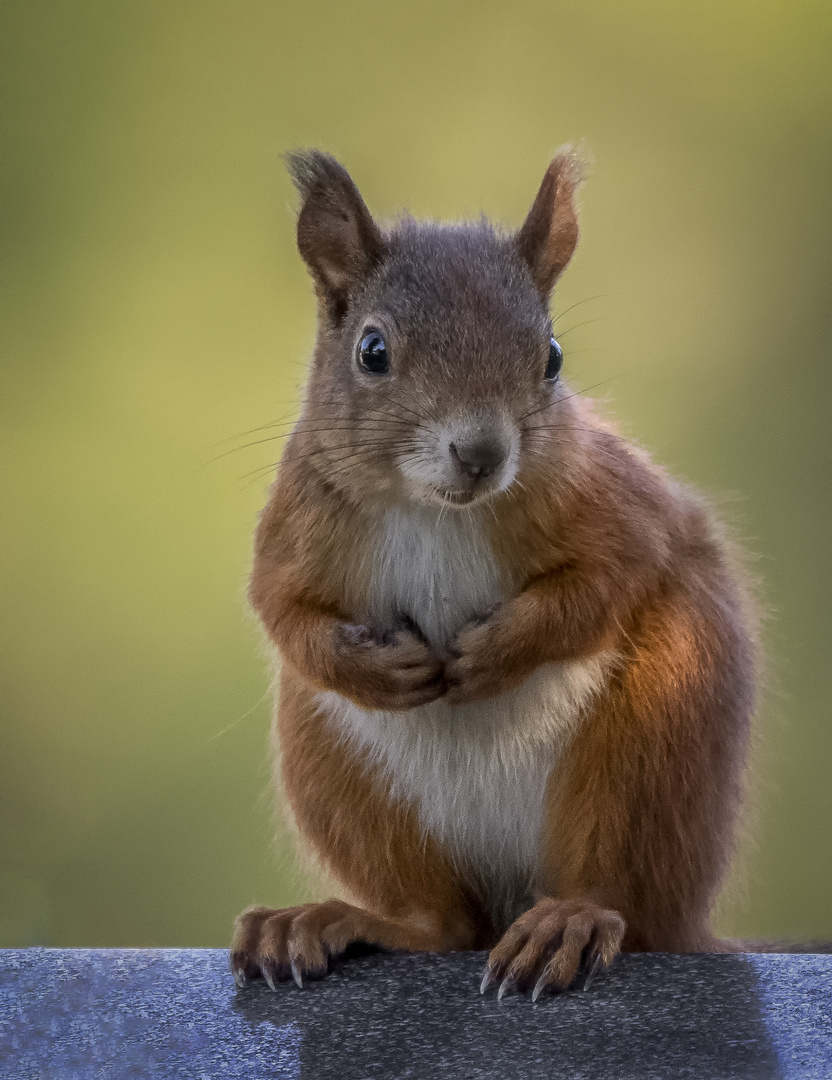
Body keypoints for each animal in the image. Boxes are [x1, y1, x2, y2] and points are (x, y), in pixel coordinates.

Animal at [229, 147, 760, 997]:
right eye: (372, 351)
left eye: (553, 358)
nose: (480, 452)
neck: (434, 510)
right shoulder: (295, 528)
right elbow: (284, 609)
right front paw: (376, 669)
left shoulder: (616, 506)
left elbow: (609, 577)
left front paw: (496, 653)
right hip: (335, 763)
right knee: (444, 925)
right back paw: (331, 922)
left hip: (654, 737)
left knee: (617, 895)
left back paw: (569, 921)